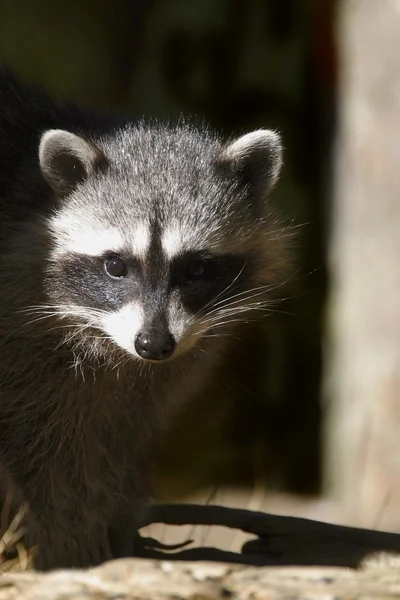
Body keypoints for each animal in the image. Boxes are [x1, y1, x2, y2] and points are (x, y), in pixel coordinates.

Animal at [0, 71, 288, 572]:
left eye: (197, 268)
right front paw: (69, 544)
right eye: (115, 265)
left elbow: (124, 437)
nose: (153, 344)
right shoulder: (21, 338)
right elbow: (43, 451)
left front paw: (117, 526)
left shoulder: (161, 369)